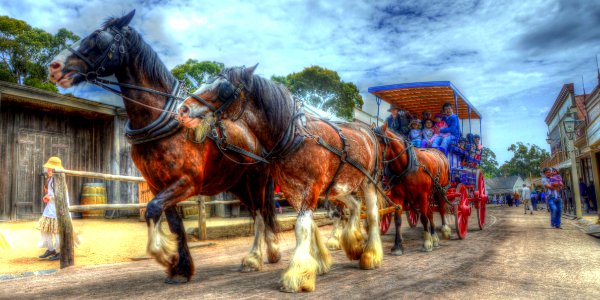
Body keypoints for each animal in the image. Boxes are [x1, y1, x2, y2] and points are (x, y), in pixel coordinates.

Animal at [47, 10, 282, 284]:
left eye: (97, 37)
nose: (54, 66)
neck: (163, 119)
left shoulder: (186, 182)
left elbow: (151, 210)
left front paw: (164, 255)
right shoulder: (158, 184)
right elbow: (173, 223)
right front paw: (181, 268)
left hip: (256, 180)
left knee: (262, 214)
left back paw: (258, 257)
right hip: (237, 184)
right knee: (258, 213)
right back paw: (267, 253)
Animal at [178, 66, 384, 292]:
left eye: (223, 88)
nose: (182, 110)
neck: (293, 137)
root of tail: (367, 130)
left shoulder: (310, 189)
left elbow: (301, 227)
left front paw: (296, 275)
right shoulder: (294, 191)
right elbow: (308, 226)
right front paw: (318, 263)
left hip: (368, 182)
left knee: (372, 214)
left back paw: (370, 255)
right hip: (339, 187)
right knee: (355, 206)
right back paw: (355, 245)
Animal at [376, 125, 450, 254]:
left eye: (379, 141)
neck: (405, 166)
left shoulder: (422, 195)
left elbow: (424, 218)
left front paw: (427, 243)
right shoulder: (398, 196)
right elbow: (398, 219)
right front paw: (397, 246)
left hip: (439, 190)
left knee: (441, 208)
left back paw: (444, 230)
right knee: (430, 213)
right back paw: (434, 237)